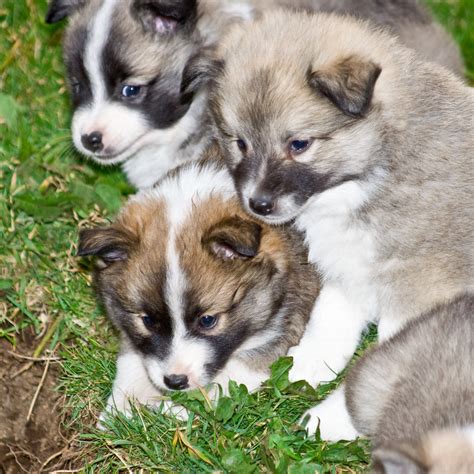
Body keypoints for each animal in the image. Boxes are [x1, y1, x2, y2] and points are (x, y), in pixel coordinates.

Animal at [78, 145, 320, 418]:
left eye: (207, 320)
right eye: (147, 321)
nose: (175, 381)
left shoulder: (284, 319)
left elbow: (236, 373)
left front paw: (175, 409)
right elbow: (132, 354)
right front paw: (122, 405)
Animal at [210, 11, 474, 438]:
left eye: (299, 144)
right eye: (240, 143)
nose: (258, 205)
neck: (378, 170)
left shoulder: (419, 295)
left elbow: (397, 361)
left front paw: (333, 419)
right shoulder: (349, 269)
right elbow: (328, 322)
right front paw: (305, 367)